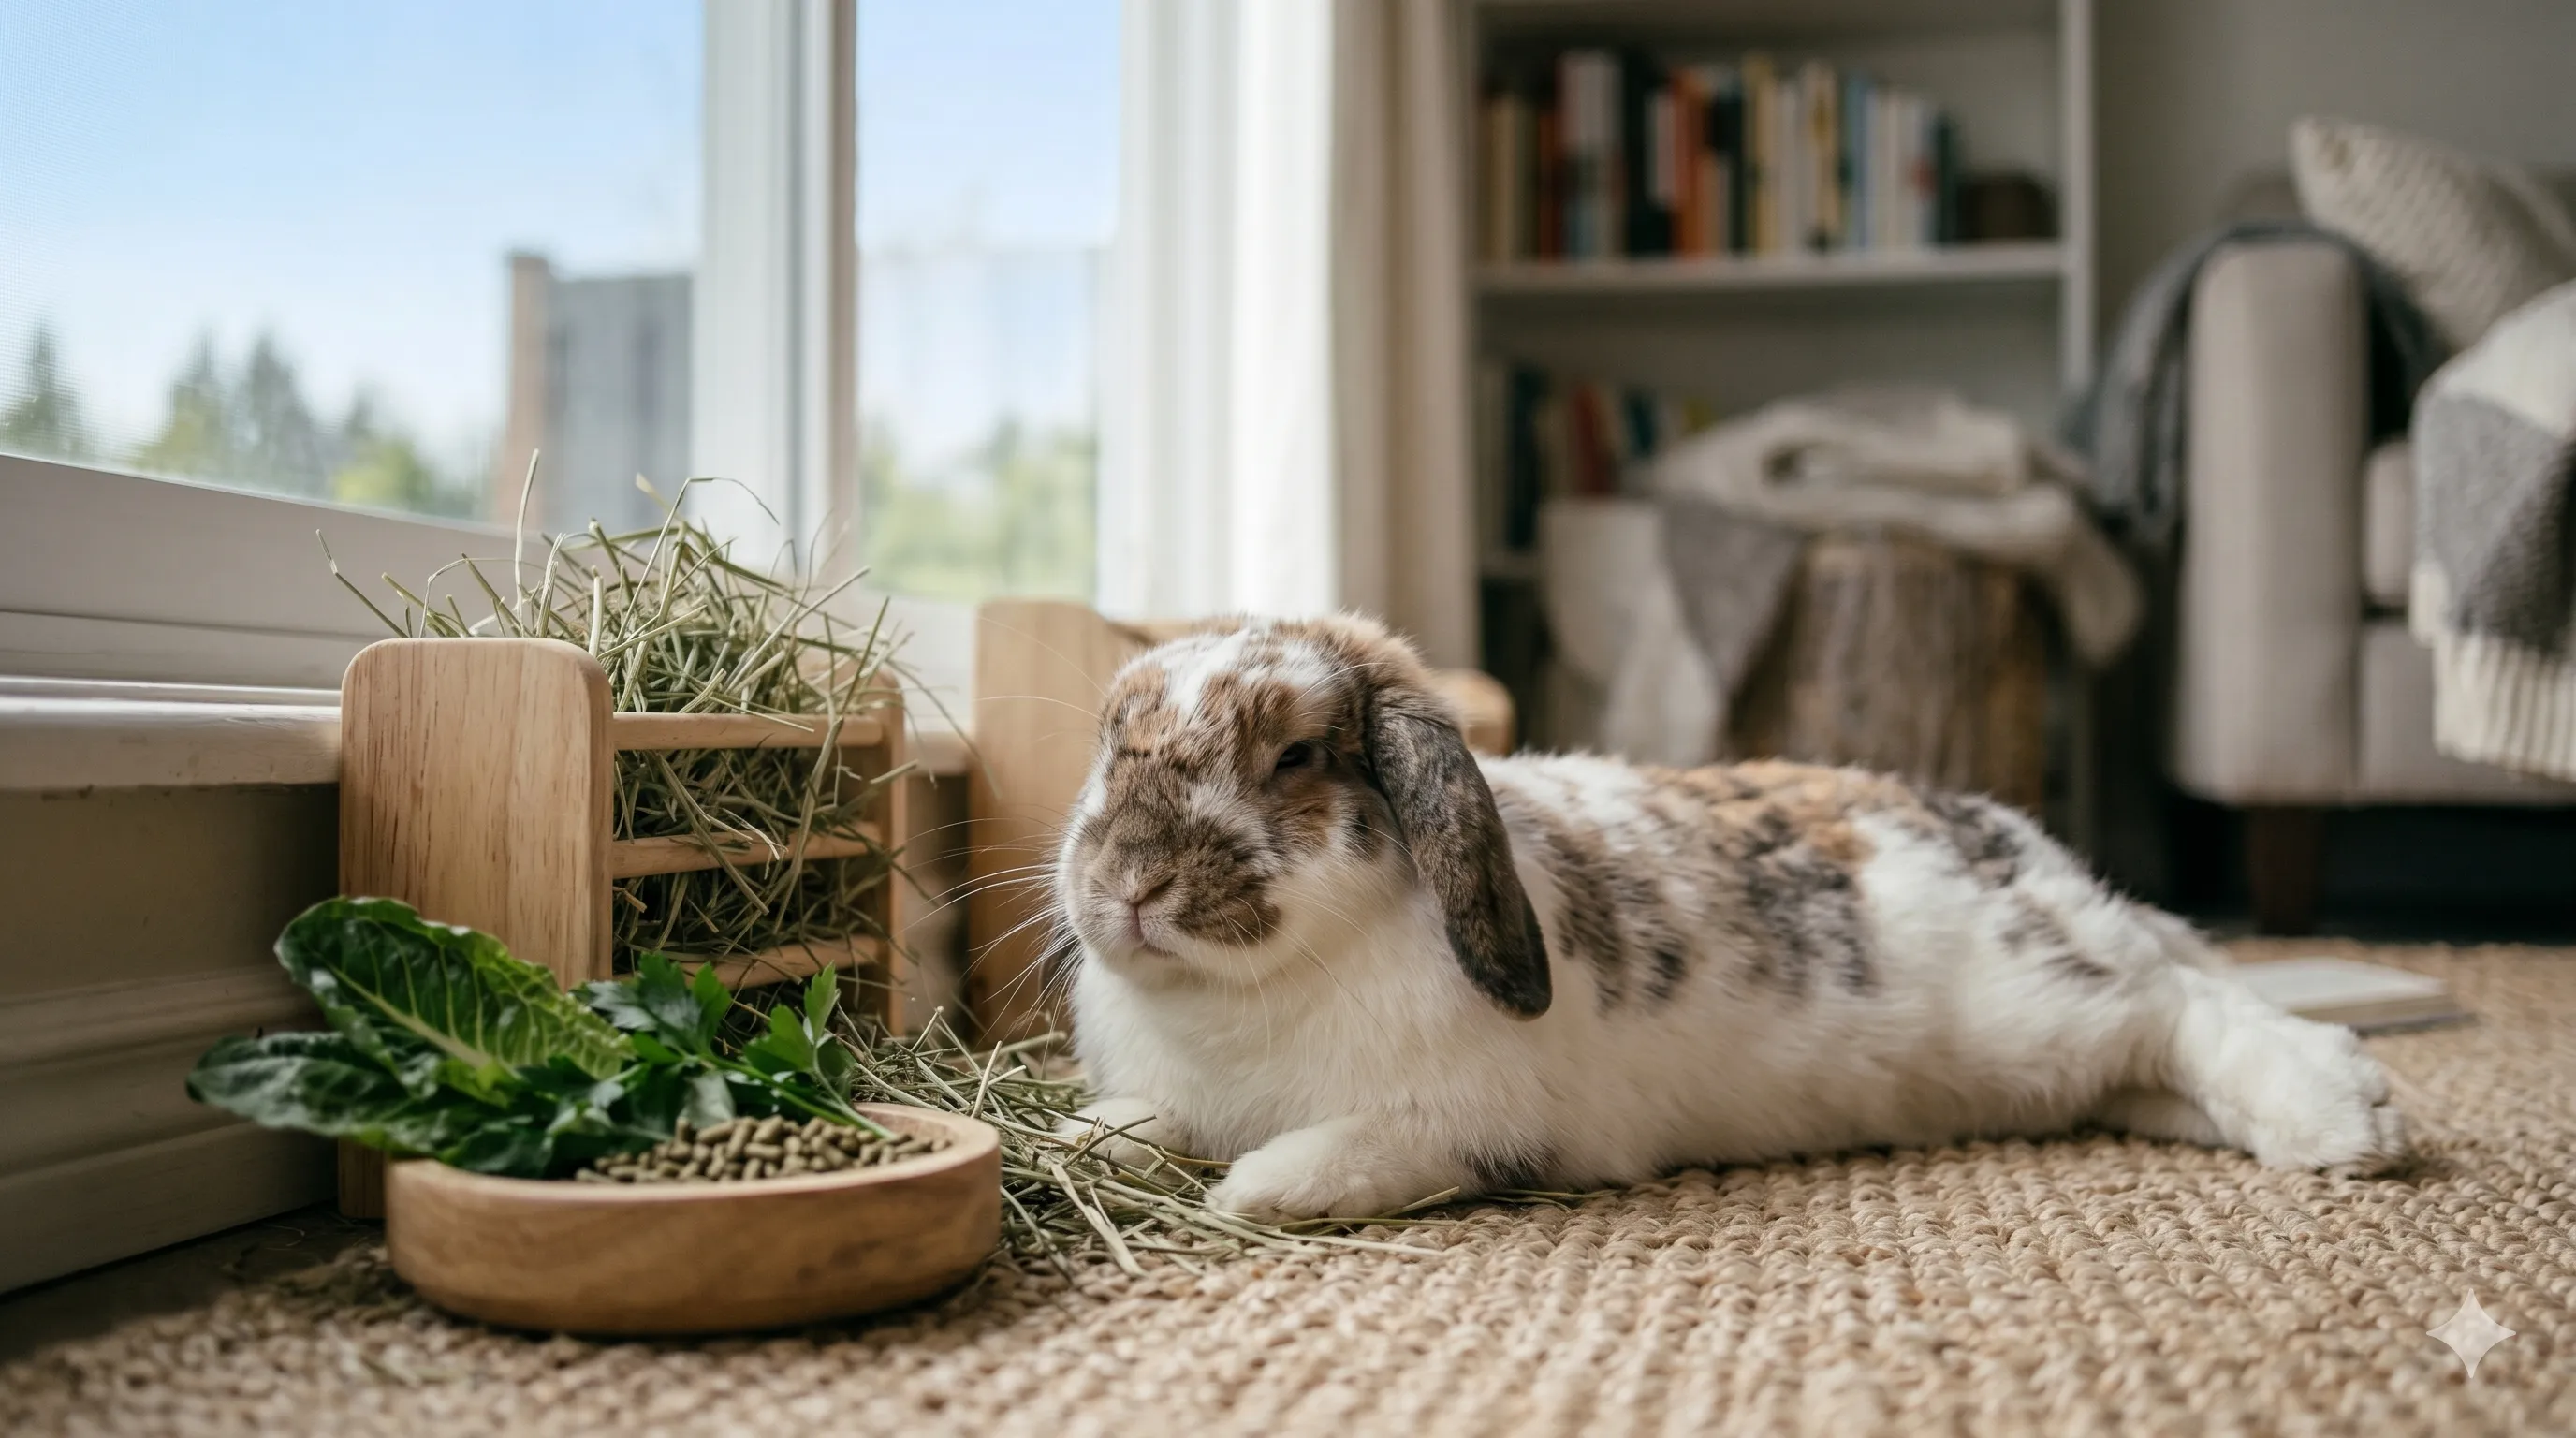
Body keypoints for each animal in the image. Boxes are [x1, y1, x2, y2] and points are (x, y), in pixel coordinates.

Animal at [1050, 614, 2408, 1221]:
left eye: (1293, 757)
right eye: (1109, 745)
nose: (1128, 886)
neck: (1249, 1000)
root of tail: (2025, 847)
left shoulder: (1471, 1129)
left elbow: (1345, 1154)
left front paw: (1251, 1193)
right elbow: (1138, 1124)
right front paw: (1084, 1139)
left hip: (2052, 995)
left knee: (2186, 1000)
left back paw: (2351, 1119)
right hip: (2072, 1059)